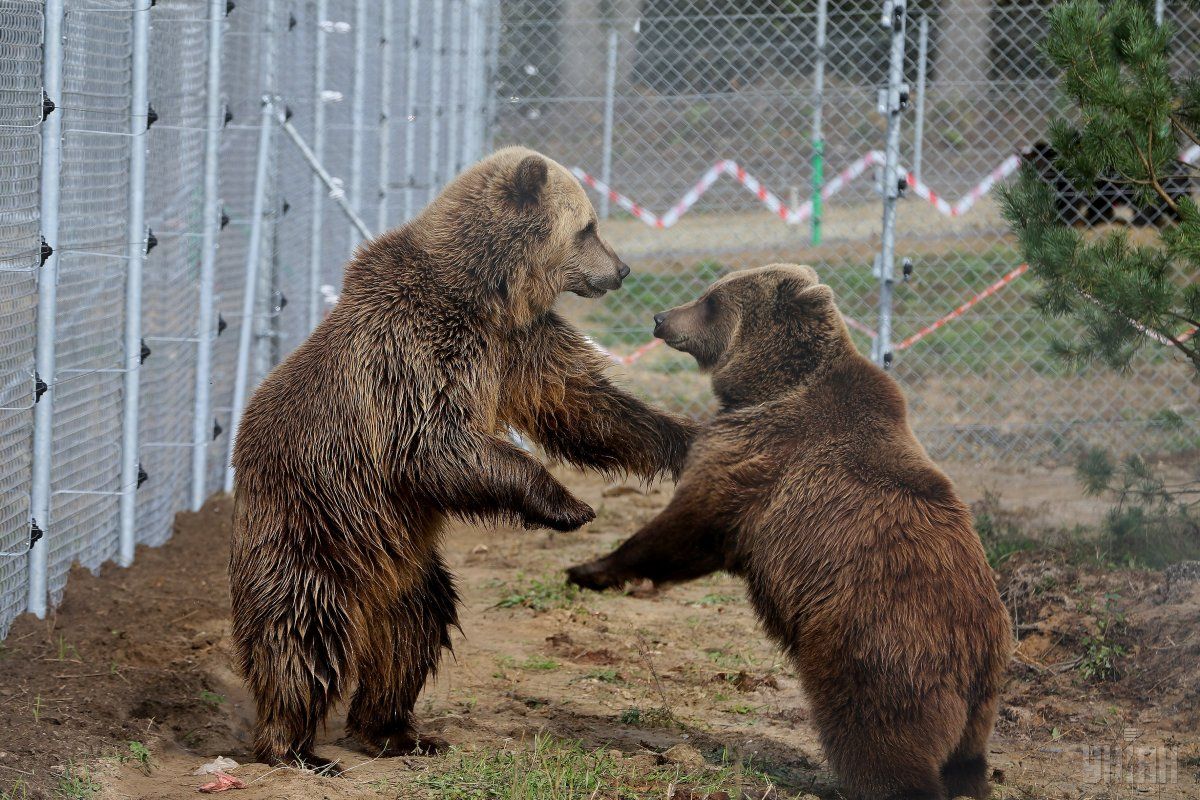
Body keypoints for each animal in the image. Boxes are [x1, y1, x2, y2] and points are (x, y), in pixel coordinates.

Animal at [230, 146, 700, 772]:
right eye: (589, 226)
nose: (621, 270)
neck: (487, 295)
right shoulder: (418, 351)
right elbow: (437, 446)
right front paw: (568, 505)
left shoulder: (519, 344)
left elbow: (581, 404)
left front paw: (684, 438)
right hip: (310, 529)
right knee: (302, 634)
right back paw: (294, 747)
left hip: (403, 564)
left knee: (415, 628)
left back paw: (395, 731)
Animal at [571, 263, 1012, 800]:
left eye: (711, 300)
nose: (661, 317)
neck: (769, 384)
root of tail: (977, 648)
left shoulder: (759, 453)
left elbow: (691, 526)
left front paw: (591, 567)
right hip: (978, 705)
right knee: (965, 763)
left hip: (875, 651)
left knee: (879, 741)